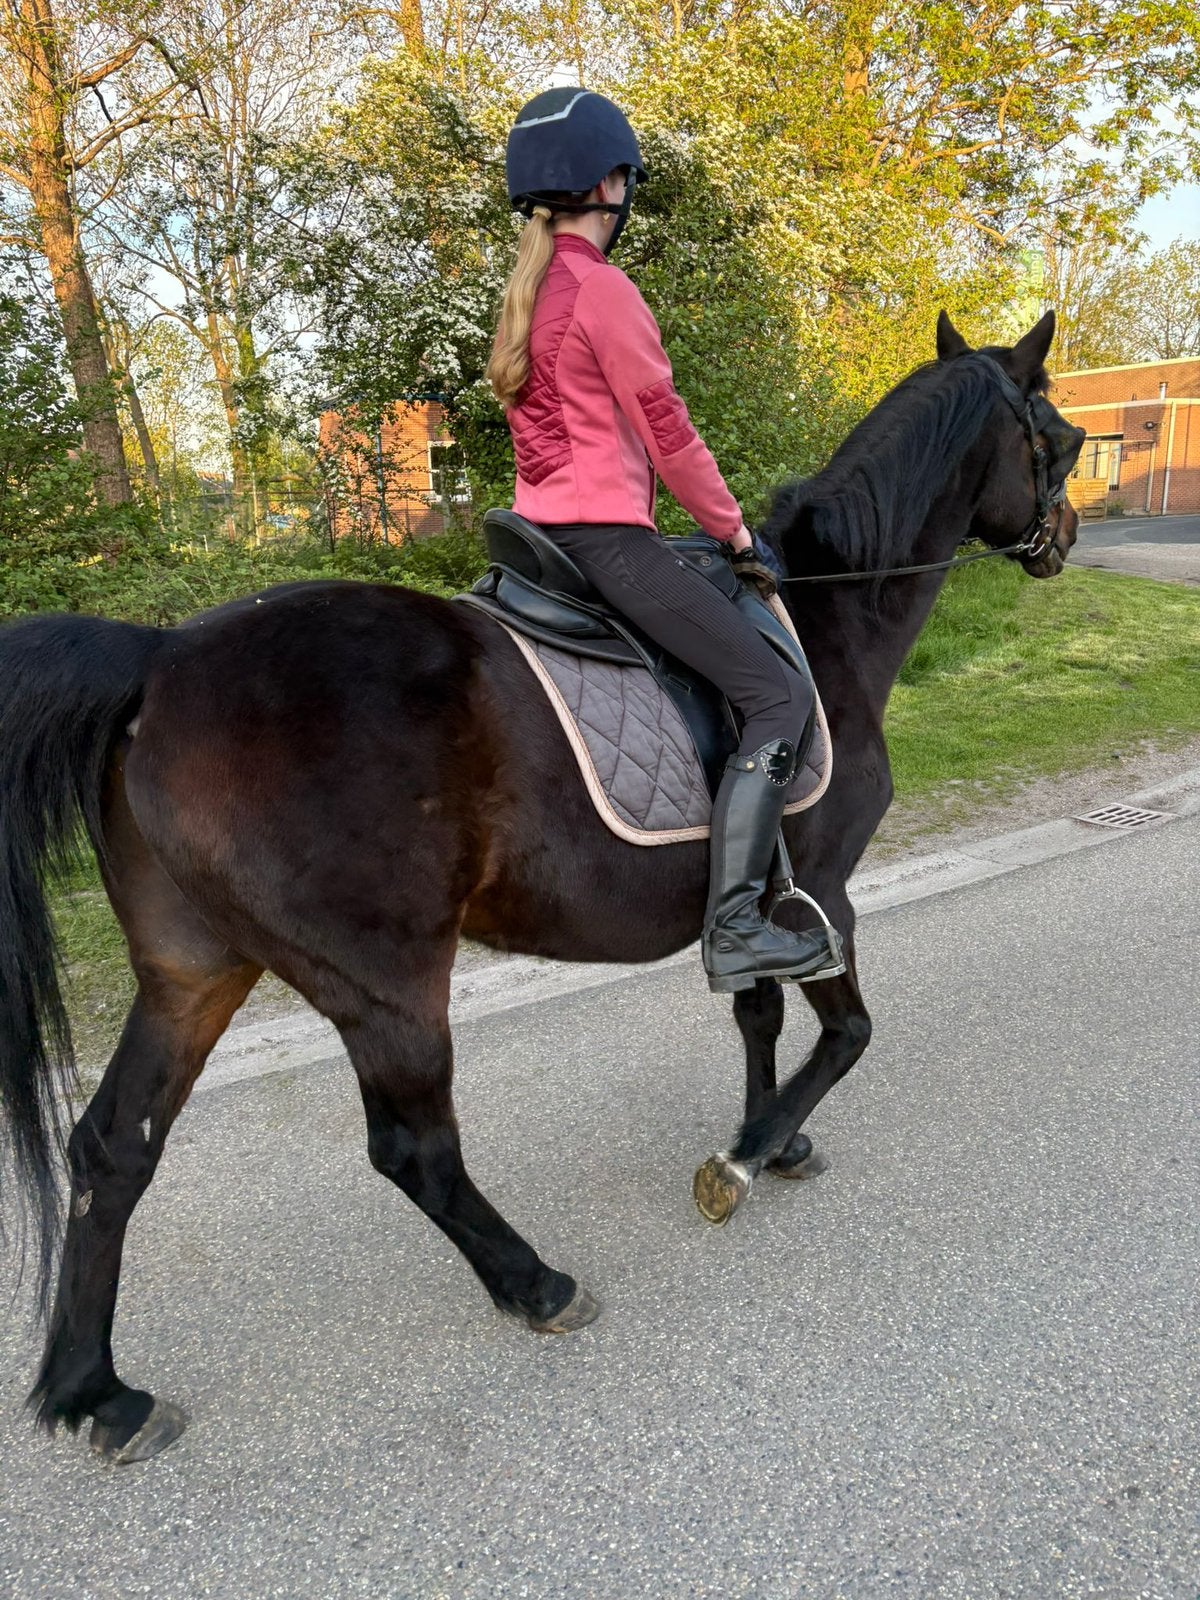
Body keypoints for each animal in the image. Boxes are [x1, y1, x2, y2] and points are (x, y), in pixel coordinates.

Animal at [0, 310, 1080, 1463]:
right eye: (1058, 437)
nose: (1062, 533)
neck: (824, 617)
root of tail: (160, 659)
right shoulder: (824, 892)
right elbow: (846, 1034)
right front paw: (743, 1157)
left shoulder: (753, 908)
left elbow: (756, 1014)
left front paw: (777, 1138)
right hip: (384, 985)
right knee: (414, 1151)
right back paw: (537, 1284)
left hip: (193, 970)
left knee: (113, 1148)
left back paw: (96, 1389)